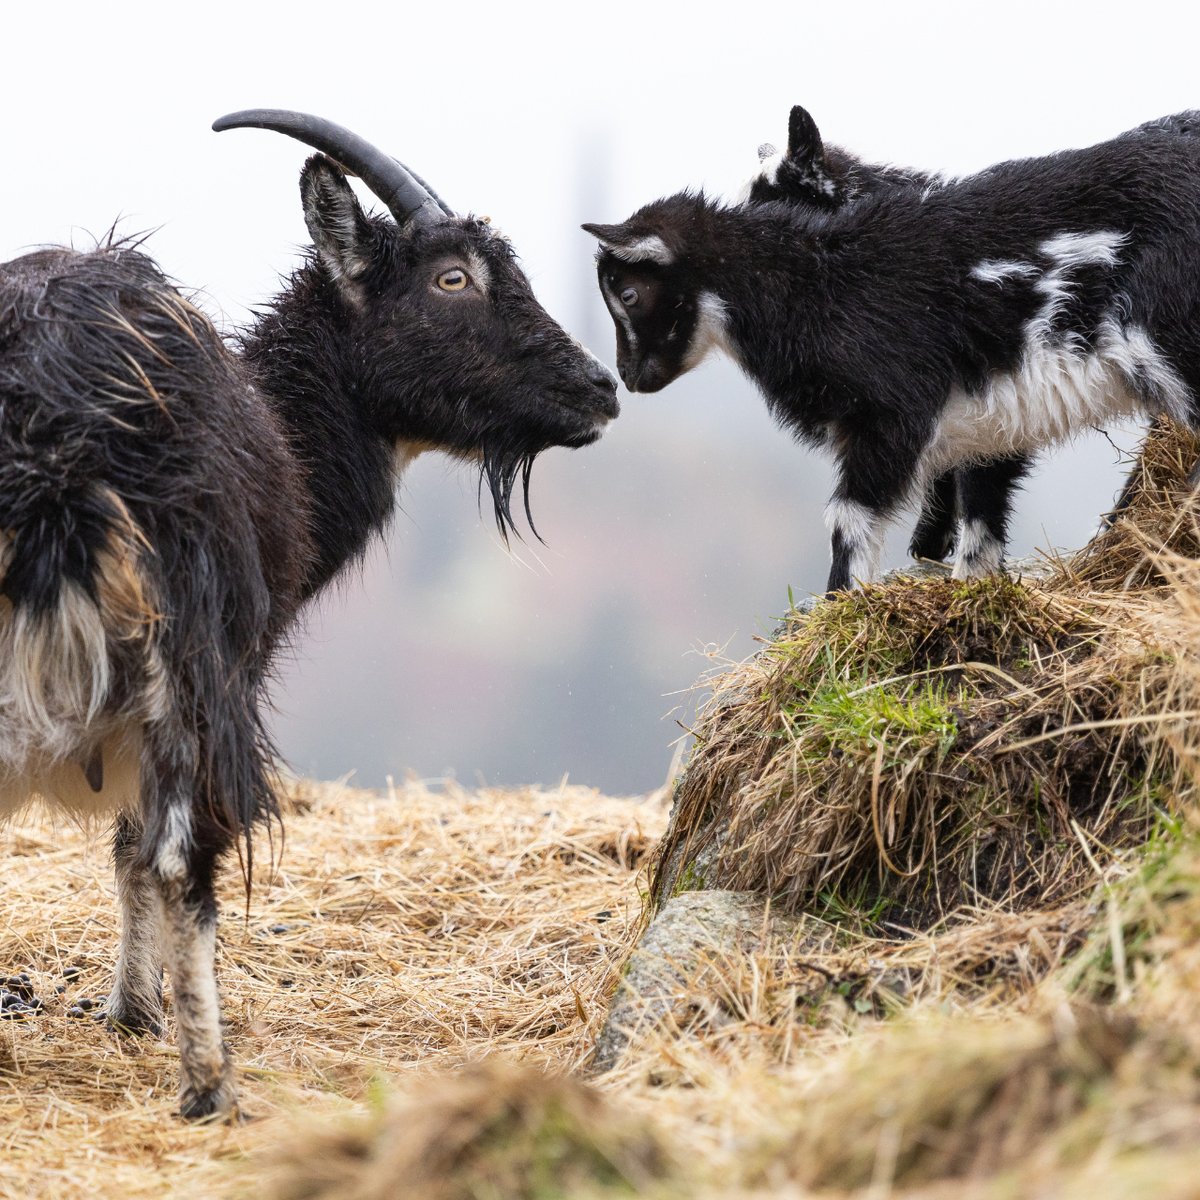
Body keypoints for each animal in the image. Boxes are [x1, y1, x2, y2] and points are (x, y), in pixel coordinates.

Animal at [0, 108, 619, 1118]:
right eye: (453, 277)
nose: (600, 389)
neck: (280, 423)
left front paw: (126, 1011)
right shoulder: (216, 665)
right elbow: (140, 846)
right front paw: (140, 1015)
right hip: (192, 647)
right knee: (185, 855)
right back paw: (210, 1086)